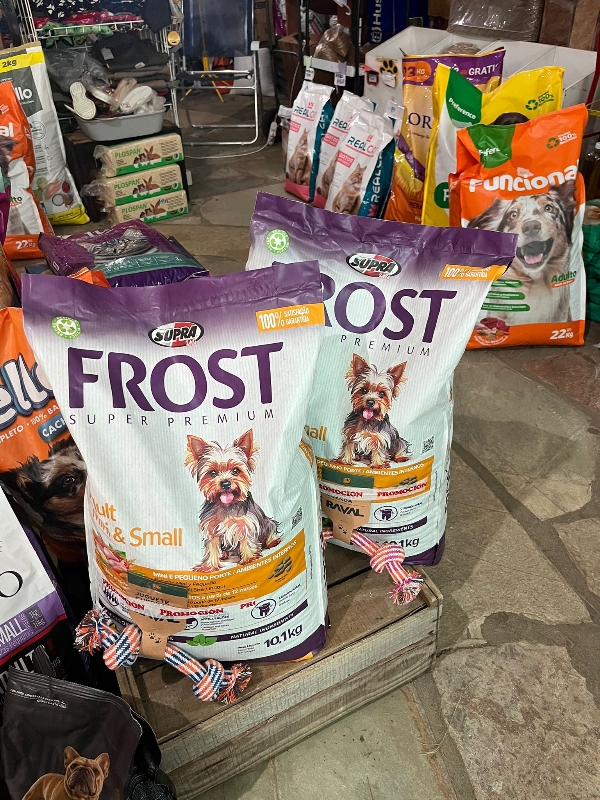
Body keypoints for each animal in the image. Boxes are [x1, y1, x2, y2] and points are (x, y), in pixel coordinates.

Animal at [185, 429, 280, 572]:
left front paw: (249, 559)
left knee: (271, 528)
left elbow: (247, 539)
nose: (225, 483)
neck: (226, 506)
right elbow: (211, 546)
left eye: (236, 470)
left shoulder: (246, 523)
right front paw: (208, 566)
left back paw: (273, 542)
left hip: (268, 522)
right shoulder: (211, 527)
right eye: (212, 473)